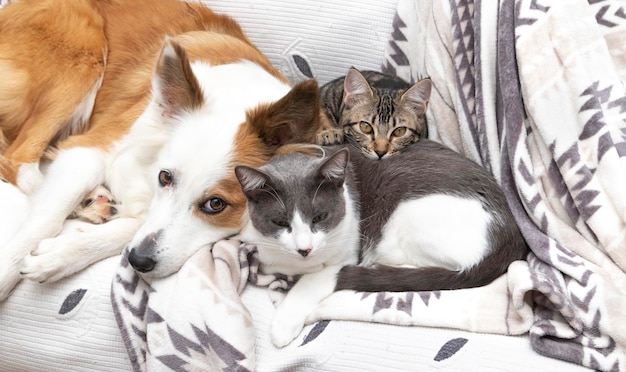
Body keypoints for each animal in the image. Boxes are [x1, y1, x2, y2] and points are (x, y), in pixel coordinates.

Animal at [0, 0, 320, 300]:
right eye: (165, 177)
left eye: (216, 204)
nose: (138, 261)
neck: (236, 101)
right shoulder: (89, 150)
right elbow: (45, 218)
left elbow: (138, 225)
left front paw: (64, 253)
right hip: (83, 53)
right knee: (18, 161)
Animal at [234, 141, 528, 348]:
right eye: (280, 222)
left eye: (319, 217)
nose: (304, 249)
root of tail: (511, 237)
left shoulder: (347, 253)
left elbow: (312, 280)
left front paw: (284, 322)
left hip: (407, 217)